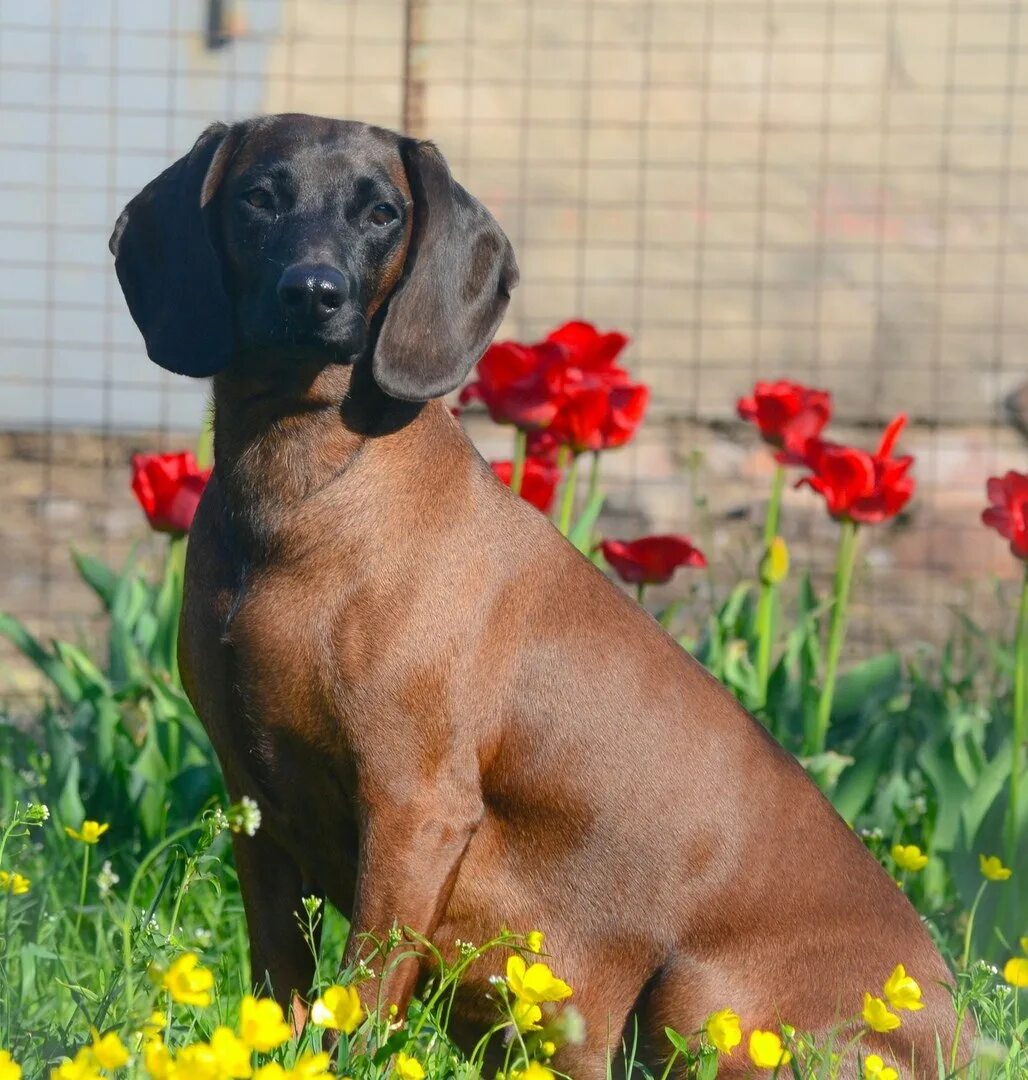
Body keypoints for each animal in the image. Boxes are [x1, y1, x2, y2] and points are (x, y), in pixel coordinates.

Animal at [110, 113, 954, 1075]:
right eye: (258, 196)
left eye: (382, 212)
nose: (313, 294)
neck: (304, 496)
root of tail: (963, 1024)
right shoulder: (257, 808)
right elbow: (282, 992)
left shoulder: (415, 809)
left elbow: (358, 1001)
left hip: (705, 994)